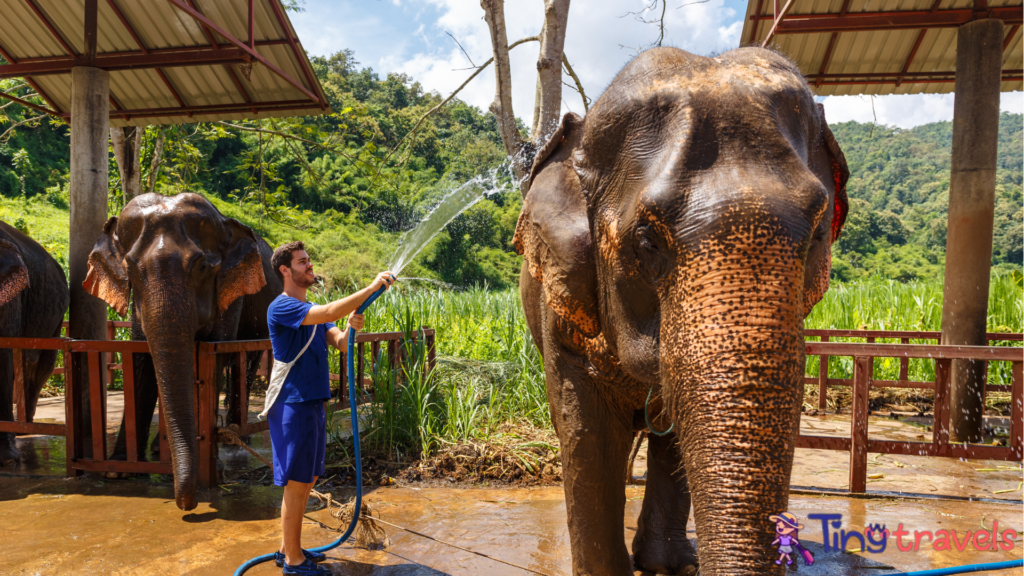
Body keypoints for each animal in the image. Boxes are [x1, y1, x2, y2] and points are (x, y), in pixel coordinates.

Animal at [83, 192, 282, 506]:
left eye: (202, 268)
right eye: (129, 270)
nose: (186, 504)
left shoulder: (229, 294)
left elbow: (214, 356)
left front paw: (214, 470)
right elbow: (142, 360)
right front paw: (118, 471)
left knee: (246, 363)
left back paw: (238, 438)